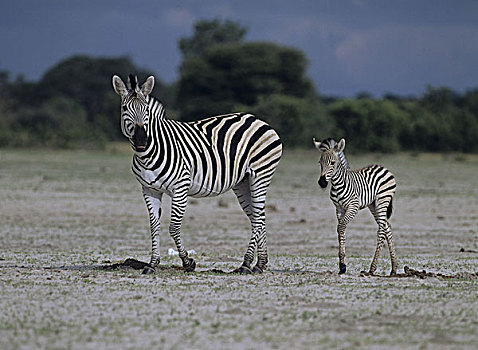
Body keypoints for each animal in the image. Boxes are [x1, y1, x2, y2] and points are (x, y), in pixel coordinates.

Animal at [111, 75, 284, 274]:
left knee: (257, 219)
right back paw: (260, 264)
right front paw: (152, 264)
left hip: (260, 174)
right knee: (258, 216)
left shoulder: (181, 186)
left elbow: (173, 227)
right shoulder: (149, 189)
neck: (148, 154)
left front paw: (188, 262)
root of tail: (258, 120)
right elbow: (154, 226)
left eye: (146, 109)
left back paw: (246, 264)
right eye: (125, 108)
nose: (141, 141)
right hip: (243, 182)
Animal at [312, 138, 398, 274]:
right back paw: (394, 268)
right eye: (320, 162)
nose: (322, 183)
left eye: (332, 163)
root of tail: (382, 167)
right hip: (373, 205)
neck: (338, 184)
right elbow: (340, 229)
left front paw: (342, 265)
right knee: (387, 227)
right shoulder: (339, 209)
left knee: (381, 231)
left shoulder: (353, 206)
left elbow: (341, 227)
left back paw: (372, 268)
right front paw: (342, 266)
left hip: (383, 200)